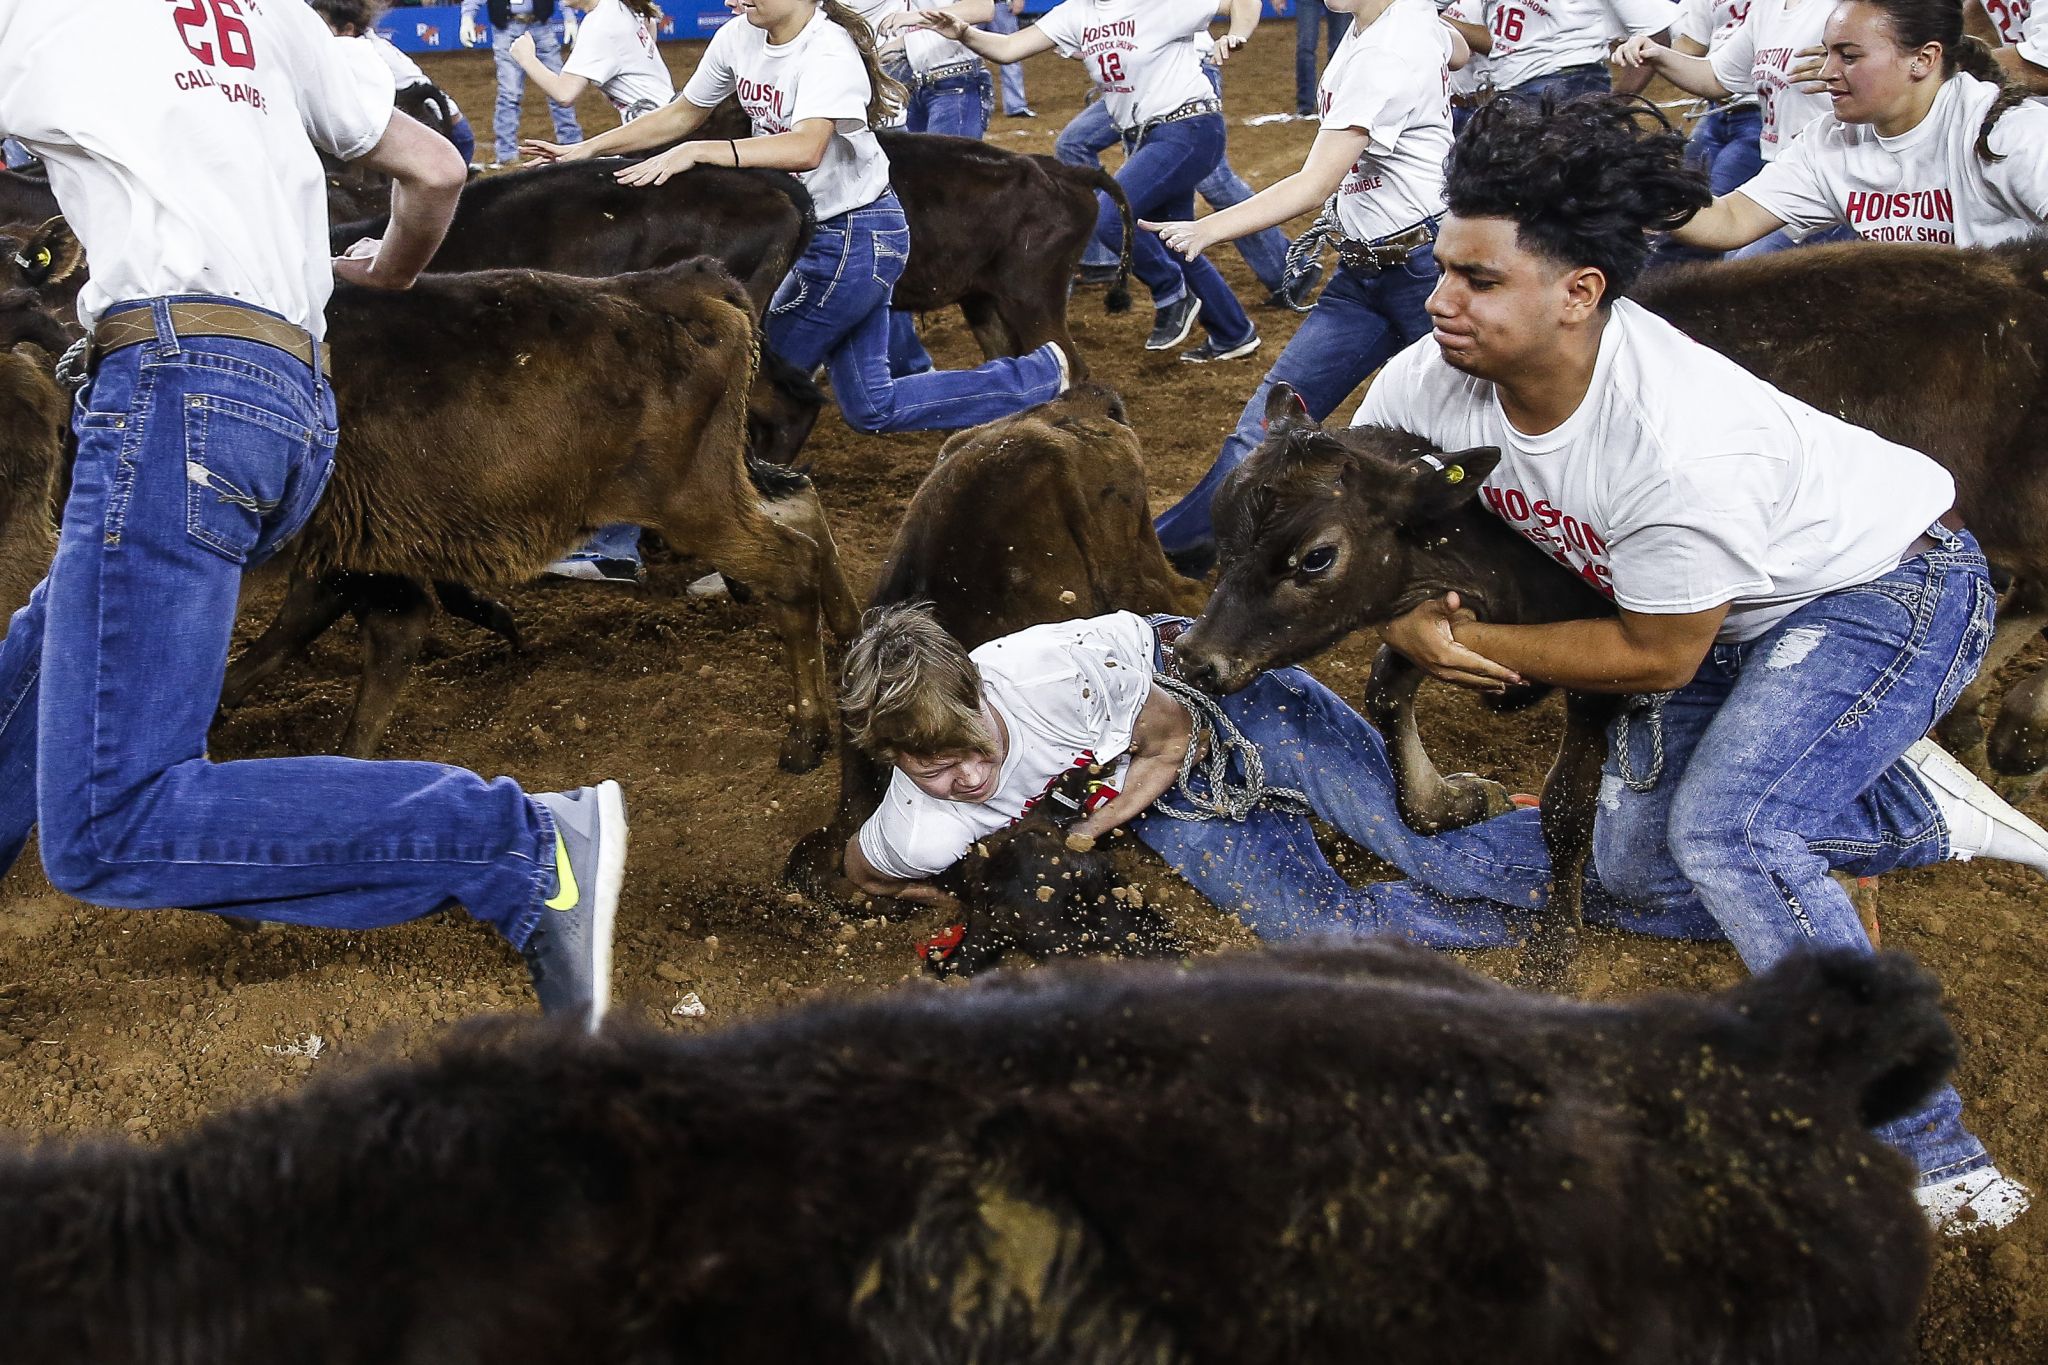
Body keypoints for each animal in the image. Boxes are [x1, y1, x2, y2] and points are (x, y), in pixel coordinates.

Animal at [220, 255, 860, 769]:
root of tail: (674, 282)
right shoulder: (356, 545)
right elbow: (349, 629)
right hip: (722, 484)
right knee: (802, 505)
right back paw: (854, 638)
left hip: (690, 502)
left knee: (791, 565)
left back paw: (808, 735)